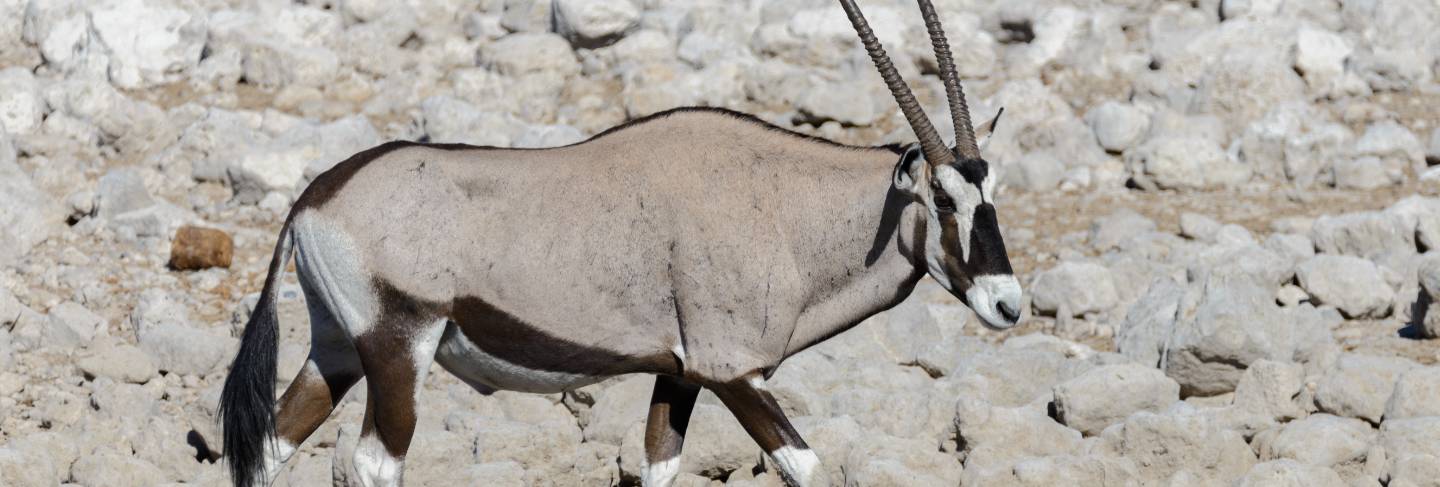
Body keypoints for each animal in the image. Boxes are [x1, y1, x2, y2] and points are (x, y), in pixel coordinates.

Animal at [218, 1, 1019, 484]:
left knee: (268, 445)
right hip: (396, 350)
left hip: (337, 349)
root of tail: (313, 197)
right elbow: (806, 464)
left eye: (993, 192)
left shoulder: (683, 373)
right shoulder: (735, 372)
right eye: (943, 198)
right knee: (373, 463)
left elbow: (661, 464)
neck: (783, 205)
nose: (1009, 305)